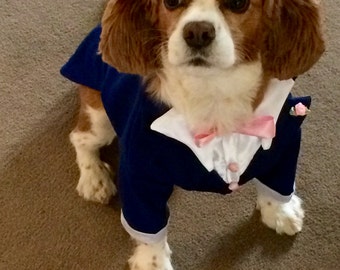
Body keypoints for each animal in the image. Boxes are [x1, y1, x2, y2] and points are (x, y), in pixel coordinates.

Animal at [60, 0, 324, 270]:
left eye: (238, 4)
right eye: (171, 2)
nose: (198, 32)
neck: (212, 90)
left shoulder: (284, 142)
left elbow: (277, 184)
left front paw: (279, 212)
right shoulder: (140, 174)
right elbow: (148, 230)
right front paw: (153, 262)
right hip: (100, 118)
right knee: (79, 137)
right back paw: (94, 178)